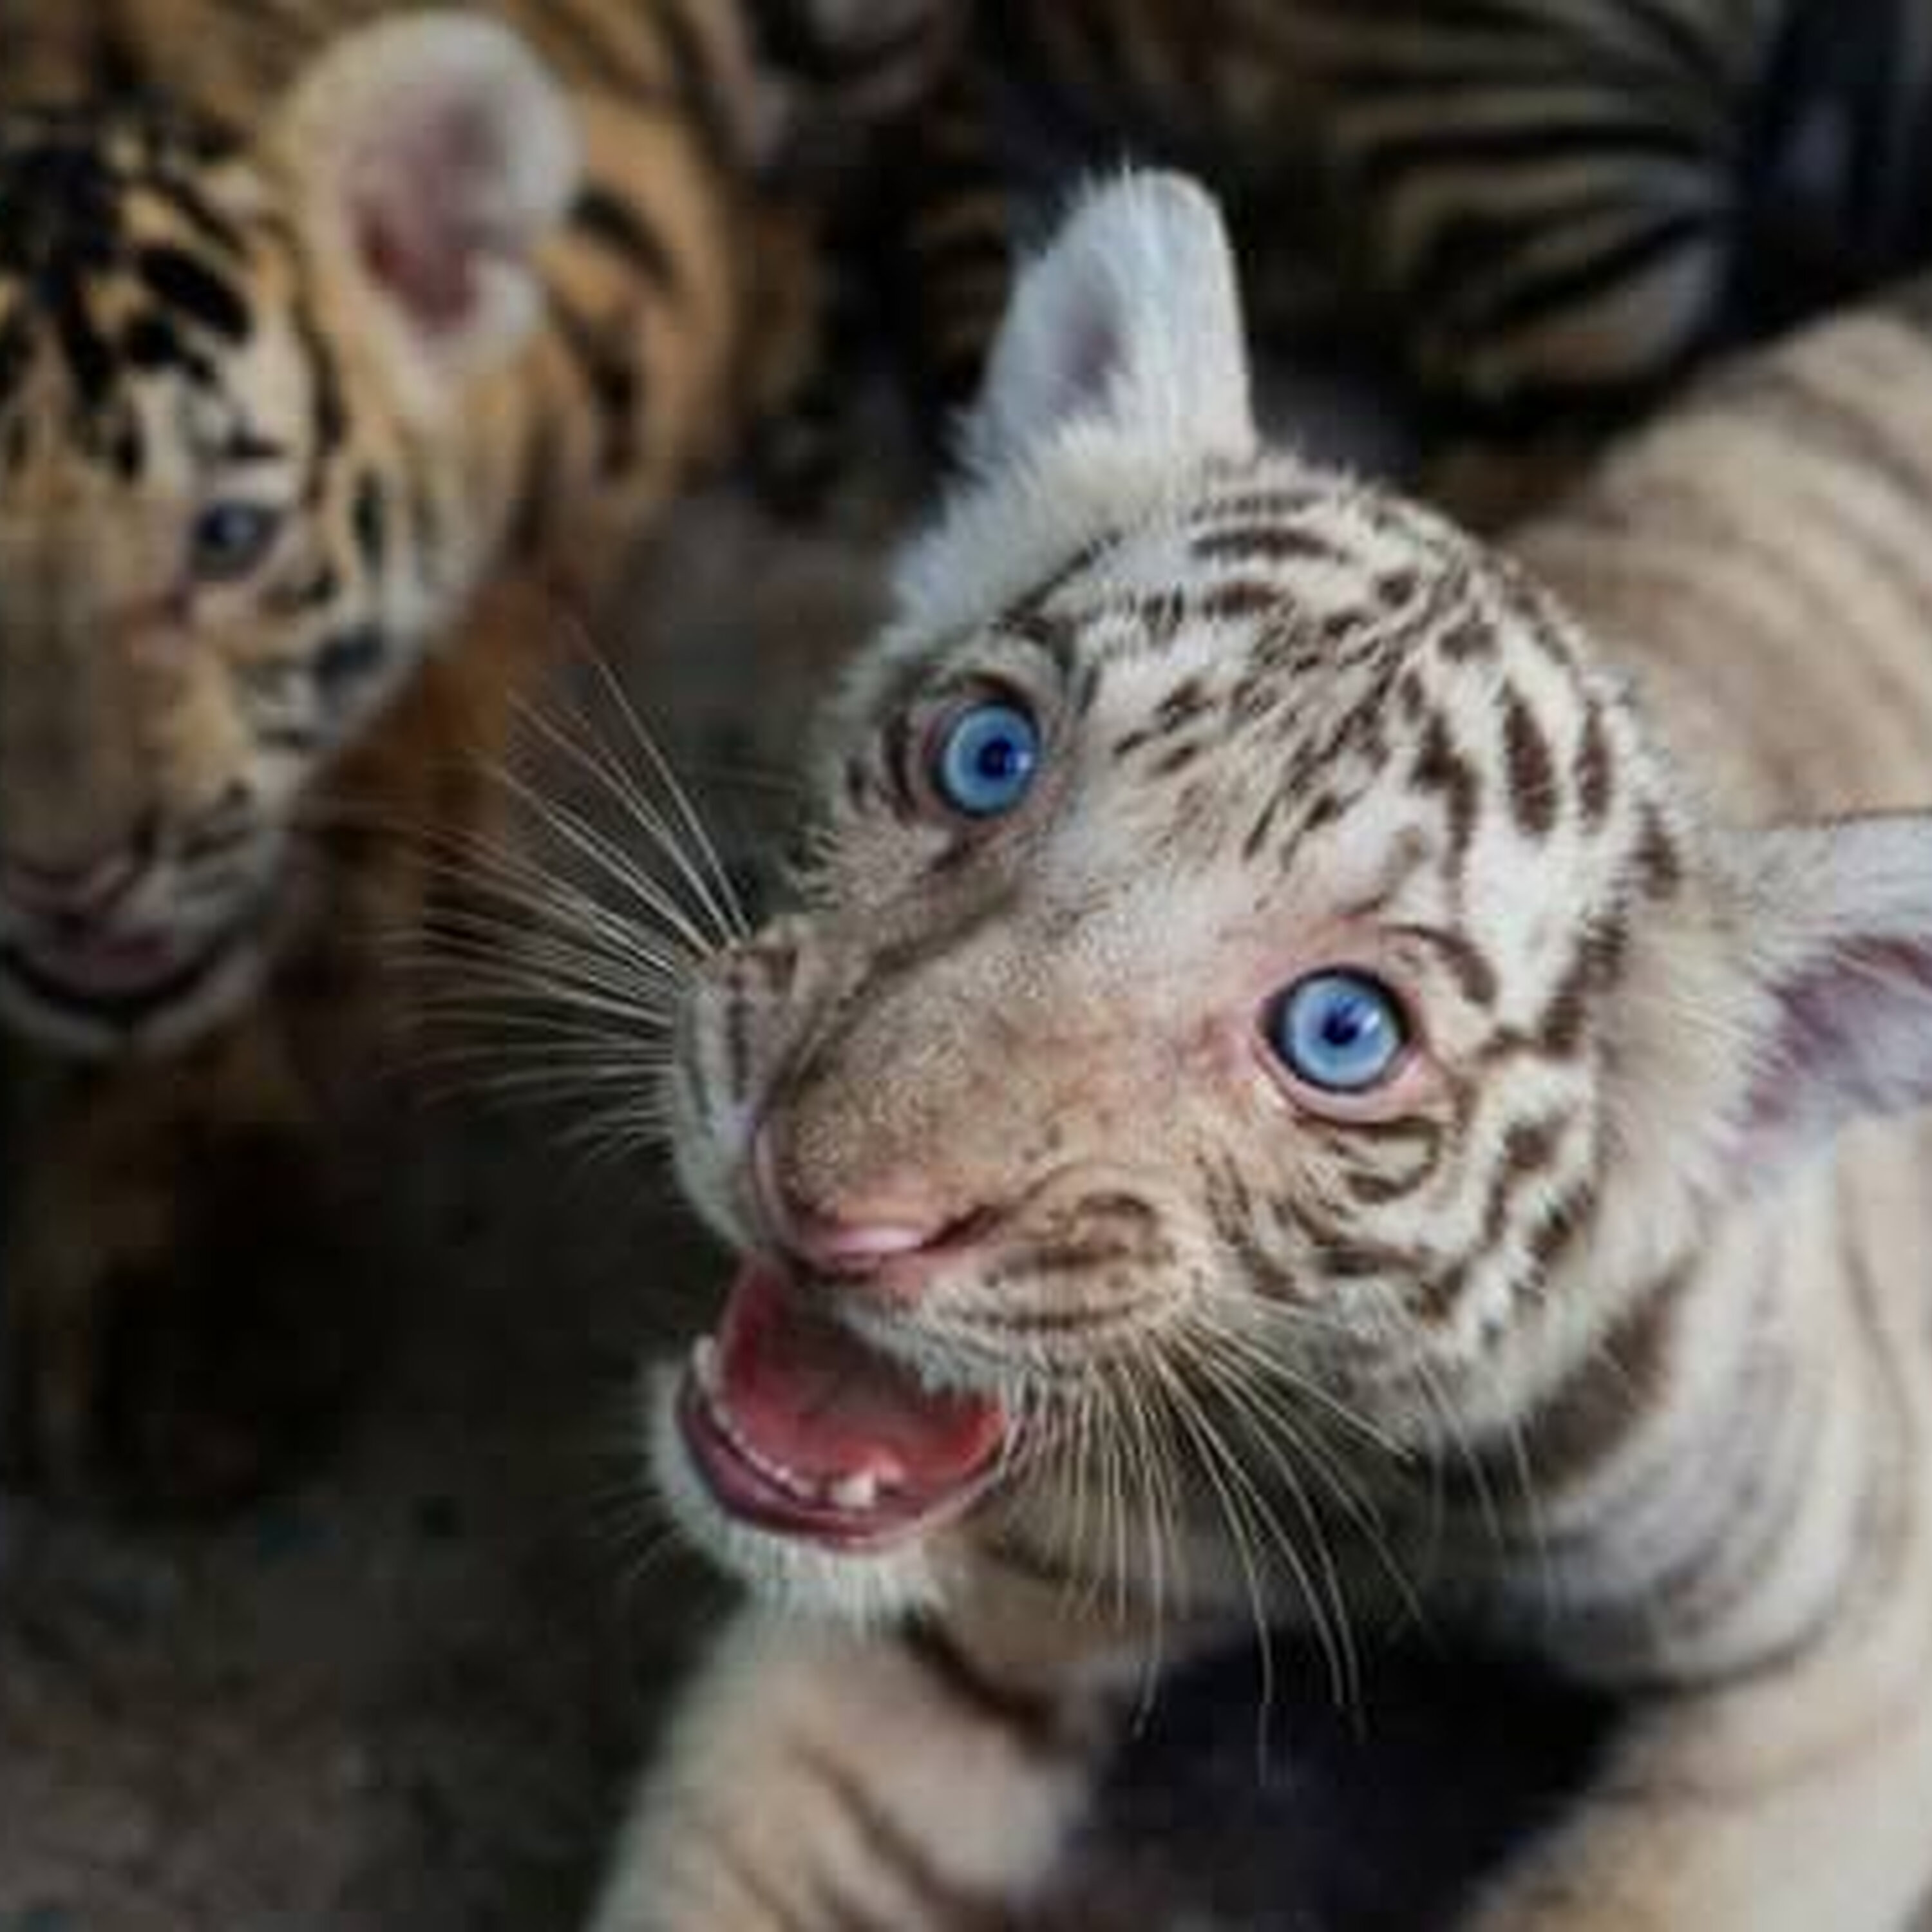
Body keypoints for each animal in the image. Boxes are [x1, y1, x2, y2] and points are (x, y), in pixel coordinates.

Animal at [580, 172, 1932, 1930]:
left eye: (1340, 1033)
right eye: (988, 754)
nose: (820, 1207)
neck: (1343, 1461)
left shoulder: (1844, 1676)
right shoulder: (960, 1622)